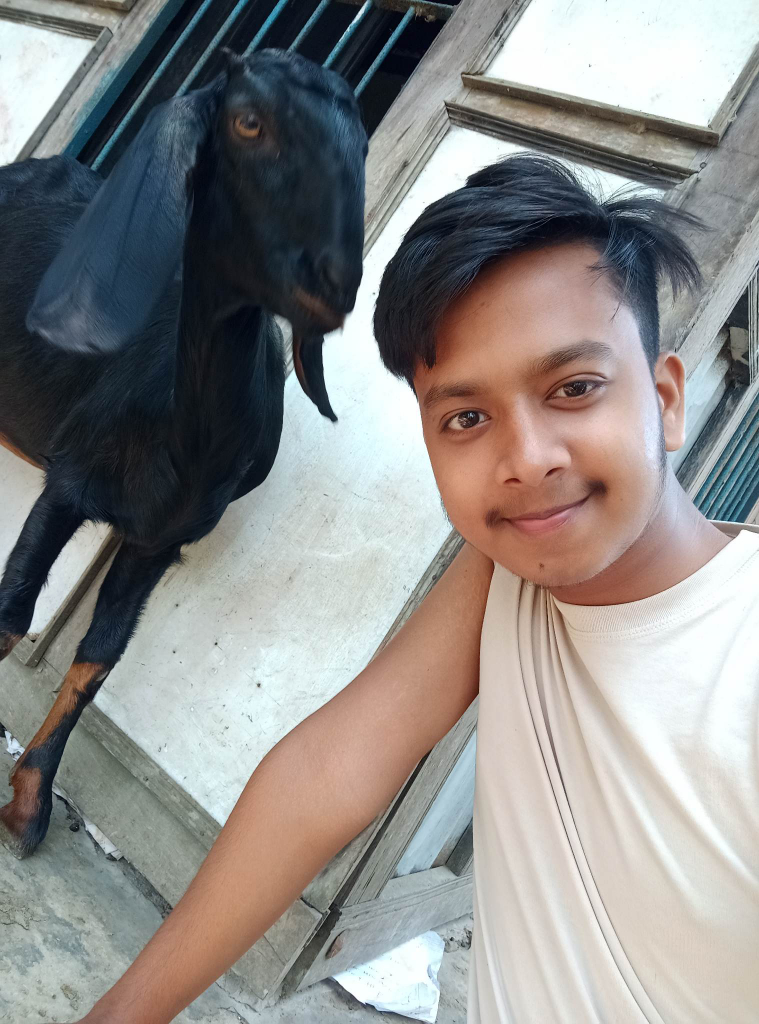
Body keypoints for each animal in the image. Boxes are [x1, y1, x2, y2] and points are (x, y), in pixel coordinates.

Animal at [0, 51, 366, 860]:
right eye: (248, 121)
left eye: (357, 142)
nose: (331, 278)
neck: (183, 438)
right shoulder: (69, 482)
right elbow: (12, 612)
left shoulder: (155, 541)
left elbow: (97, 659)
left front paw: (29, 806)